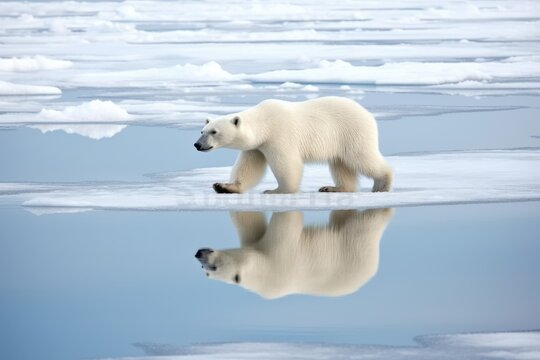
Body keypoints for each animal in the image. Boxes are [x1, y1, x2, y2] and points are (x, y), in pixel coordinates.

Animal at [194, 95, 392, 194]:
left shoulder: (278, 135)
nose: (197, 145)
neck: (264, 122)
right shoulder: (256, 147)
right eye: (202, 131)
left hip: (351, 132)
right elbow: (248, 167)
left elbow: (286, 163)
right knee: (340, 163)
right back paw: (334, 188)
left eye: (214, 132)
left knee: (361, 157)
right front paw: (224, 186)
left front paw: (276, 190)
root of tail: (368, 114)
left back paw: (382, 185)